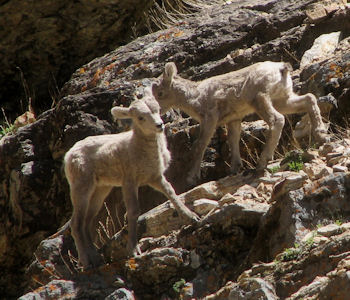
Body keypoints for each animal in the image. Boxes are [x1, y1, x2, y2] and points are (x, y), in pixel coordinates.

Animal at [64, 89, 198, 270]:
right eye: (140, 117)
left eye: (157, 109)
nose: (159, 125)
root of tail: (69, 155)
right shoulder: (129, 182)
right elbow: (133, 212)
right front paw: (133, 251)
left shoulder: (156, 178)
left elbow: (172, 194)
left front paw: (192, 217)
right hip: (81, 188)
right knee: (76, 224)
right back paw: (86, 262)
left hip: (100, 190)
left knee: (86, 222)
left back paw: (96, 259)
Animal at [152, 61, 328, 183]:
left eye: (160, 93)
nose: (157, 111)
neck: (195, 96)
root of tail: (281, 69)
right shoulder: (234, 120)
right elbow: (233, 140)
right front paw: (234, 169)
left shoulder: (210, 119)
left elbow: (199, 146)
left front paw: (191, 178)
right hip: (282, 100)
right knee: (309, 99)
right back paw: (321, 136)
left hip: (260, 99)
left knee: (277, 119)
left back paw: (262, 163)